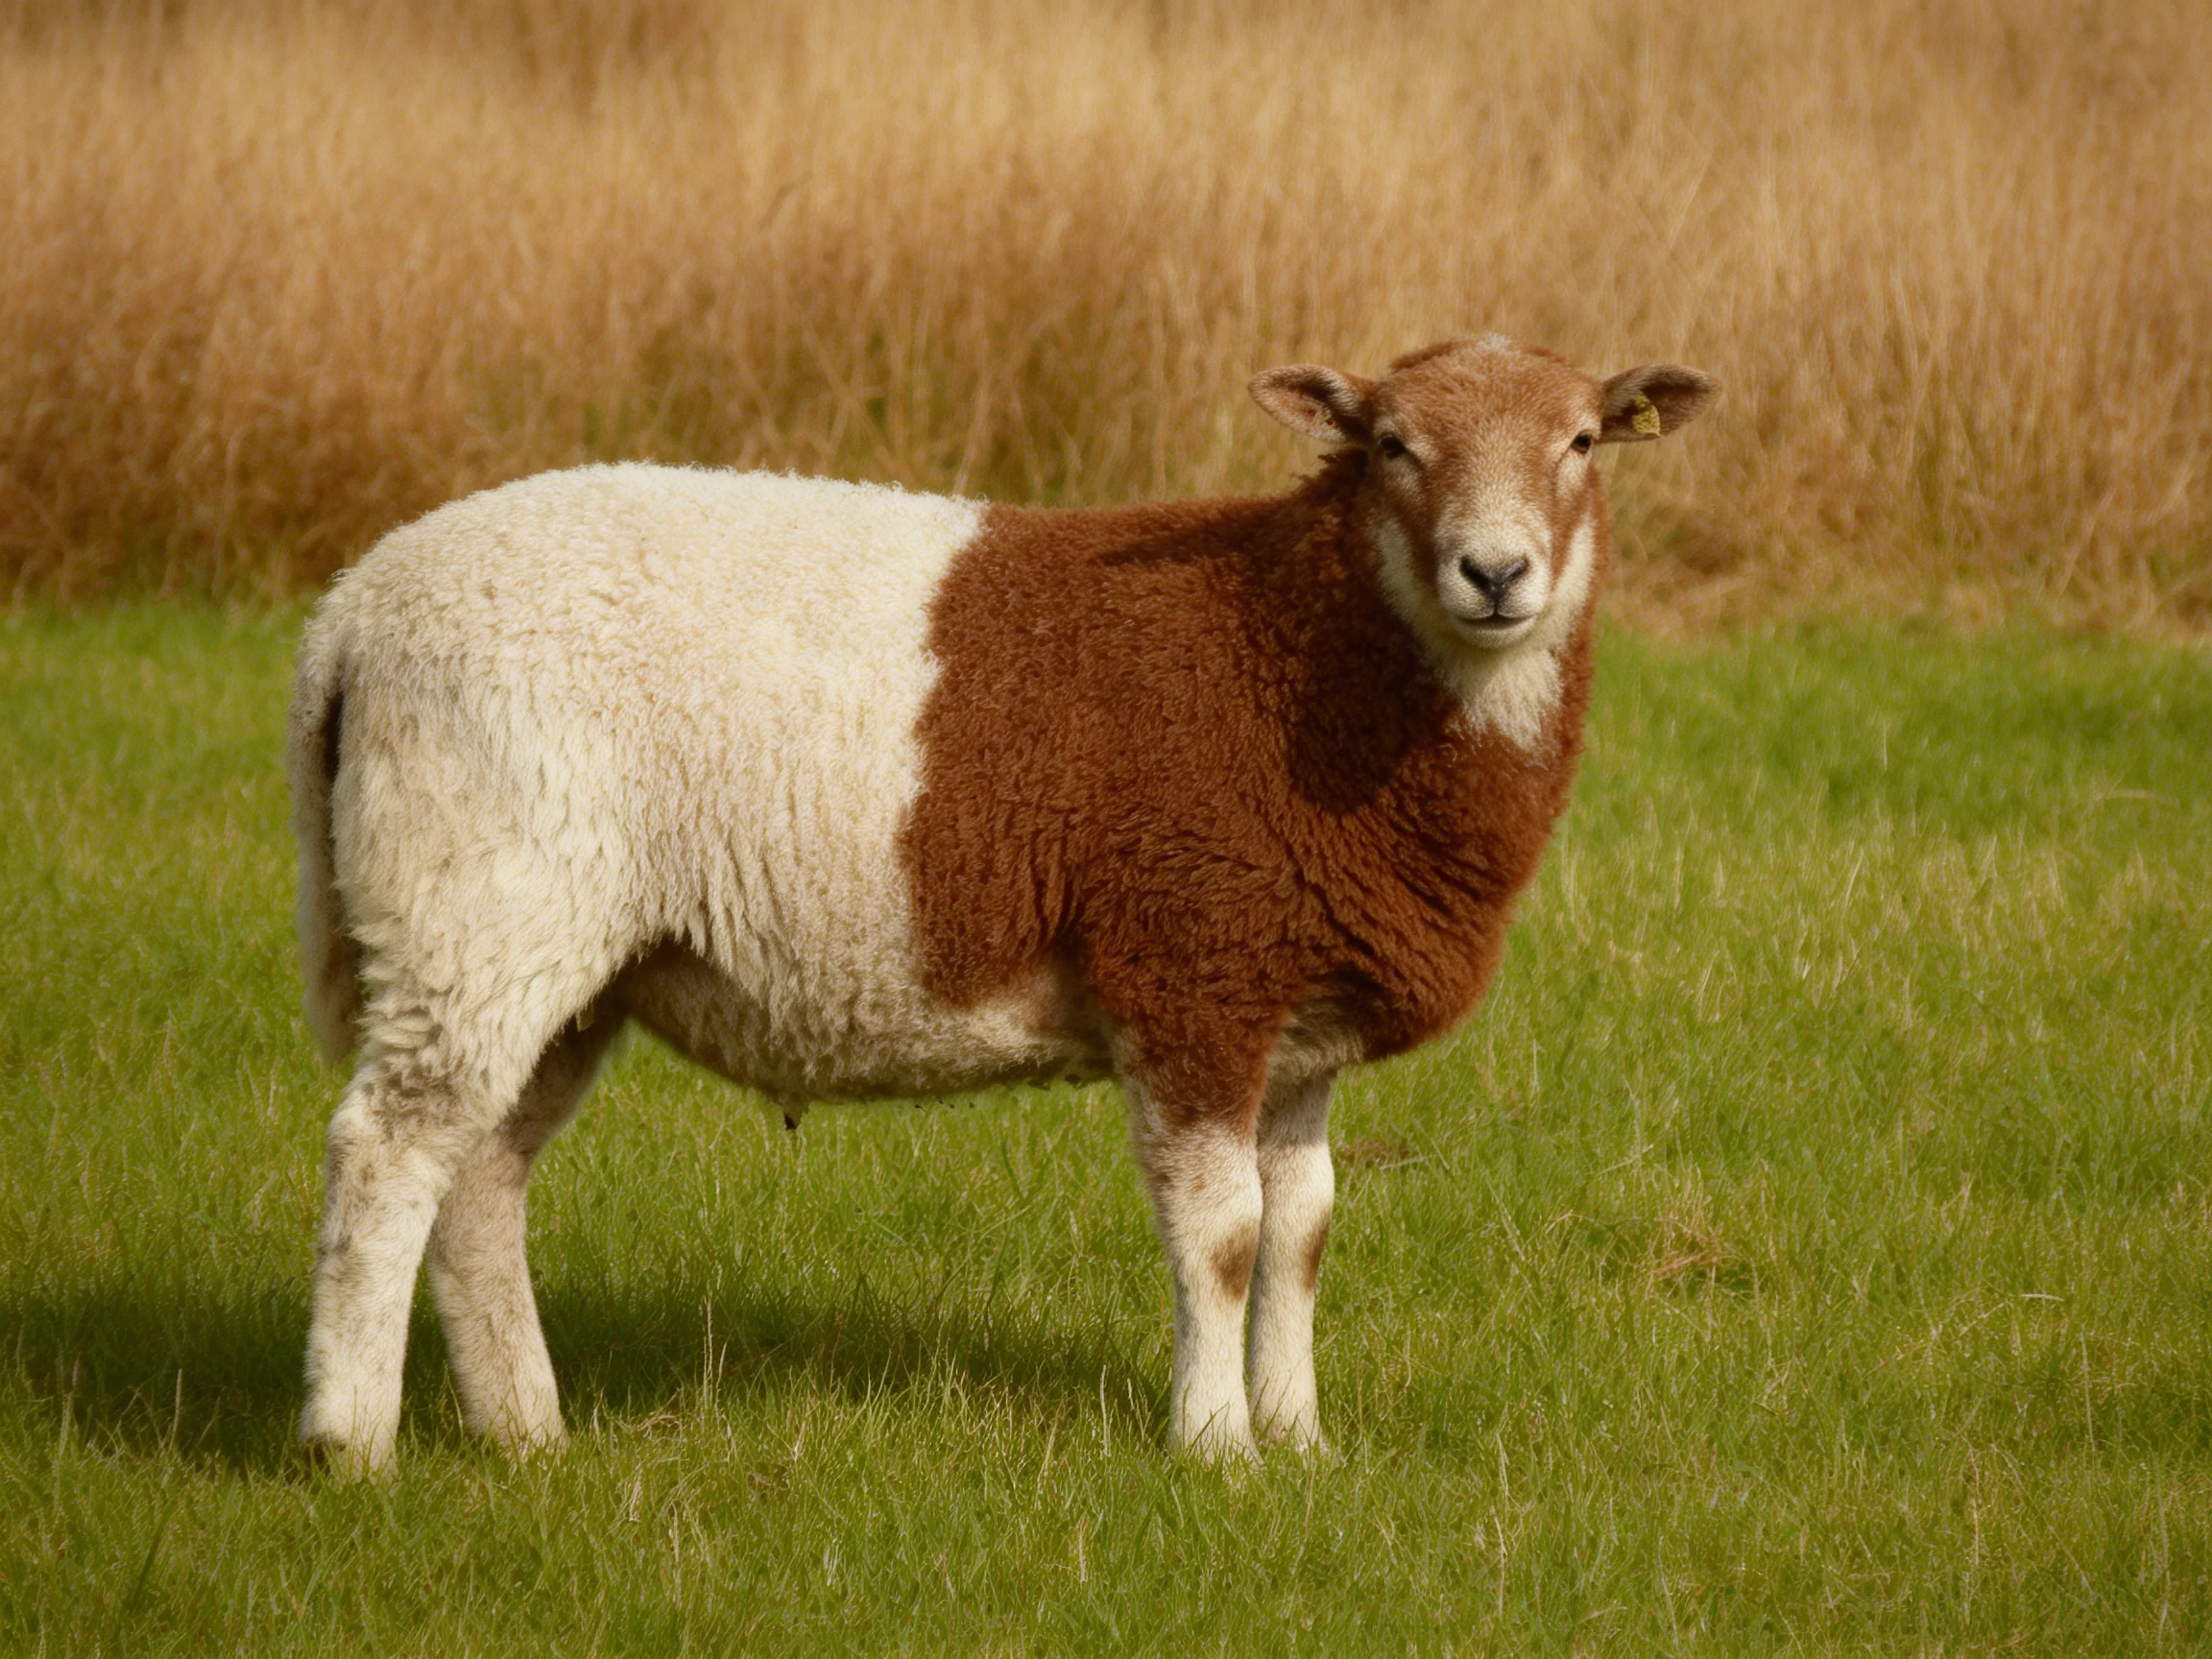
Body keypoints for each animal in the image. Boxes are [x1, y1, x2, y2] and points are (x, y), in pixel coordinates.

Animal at [288, 335, 1716, 1471]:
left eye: (1581, 441)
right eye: (1394, 448)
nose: (1497, 573)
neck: (1304, 648)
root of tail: (353, 613)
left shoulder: (1293, 1014)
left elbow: (1304, 1233)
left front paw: (1303, 1440)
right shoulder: (1191, 971)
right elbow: (1224, 1237)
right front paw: (1216, 1450)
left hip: (561, 959)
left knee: (481, 1182)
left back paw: (526, 1436)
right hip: (475, 905)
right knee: (387, 1155)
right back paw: (353, 1447)